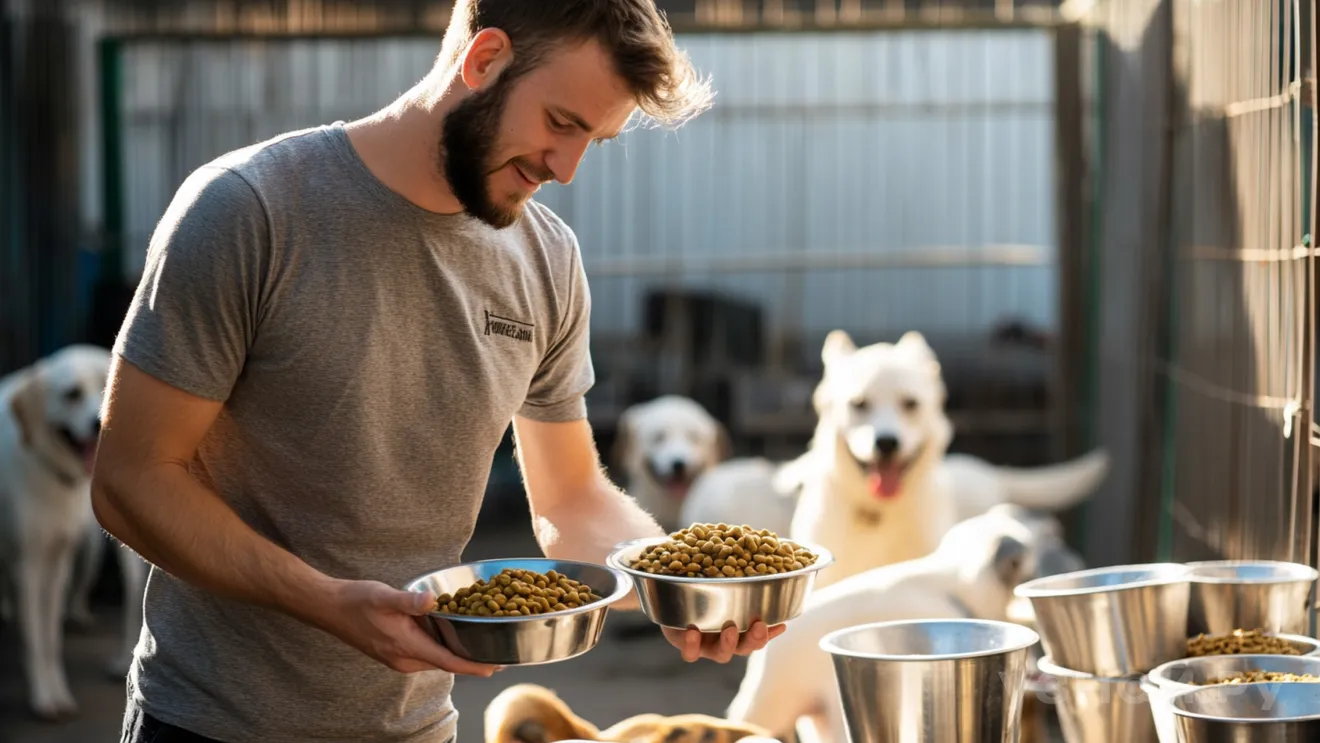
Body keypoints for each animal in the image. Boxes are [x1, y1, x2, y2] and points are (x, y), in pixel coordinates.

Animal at [0, 348, 149, 723]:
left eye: (110, 384)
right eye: (72, 395)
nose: (101, 424)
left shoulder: (55, 563)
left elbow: (50, 639)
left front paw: (57, 692)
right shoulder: (29, 566)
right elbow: (35, 640)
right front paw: (43, 699)